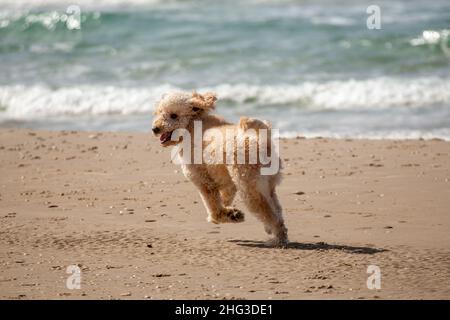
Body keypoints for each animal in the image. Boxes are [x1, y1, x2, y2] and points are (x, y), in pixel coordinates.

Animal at [151, 91, 288, 246]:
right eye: (160, 112)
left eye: (173, 115)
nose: (155, 129)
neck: (192, 124)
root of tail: (262, 141)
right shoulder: (228, 181)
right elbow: (224, 197)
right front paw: (229, 211)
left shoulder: (204, 181)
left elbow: (213, 206)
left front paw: (226, 216)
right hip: (267, 185)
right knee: (276, 210)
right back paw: (274, 231)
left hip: (249, 188)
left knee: (269, 212)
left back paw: (277, 238)